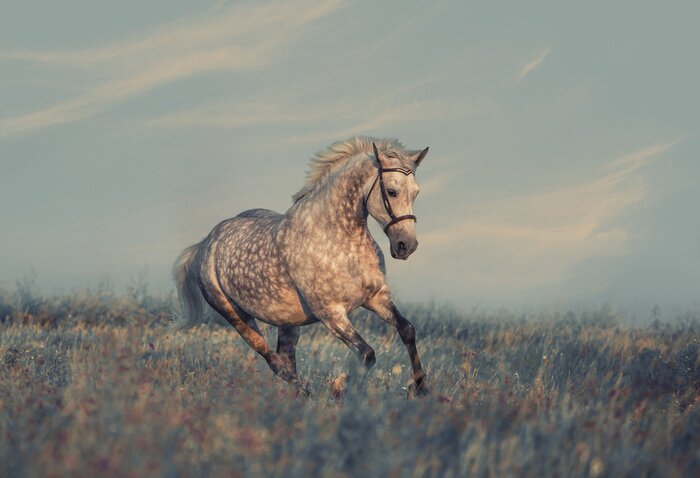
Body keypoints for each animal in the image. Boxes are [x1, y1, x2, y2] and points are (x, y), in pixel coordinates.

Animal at [173, 136, 430, 396]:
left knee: (285, 359)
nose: (406, 245)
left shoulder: (376, 297)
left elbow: (407, 330)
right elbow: (367, 354)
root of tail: (206, 243)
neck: (339, 242)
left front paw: (419, 387)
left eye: (416, 192)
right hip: (235, 315)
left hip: (287, 323)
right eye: (392, 191)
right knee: (274, 361)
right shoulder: (330, 313)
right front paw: (338, 387)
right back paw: (307, 391)